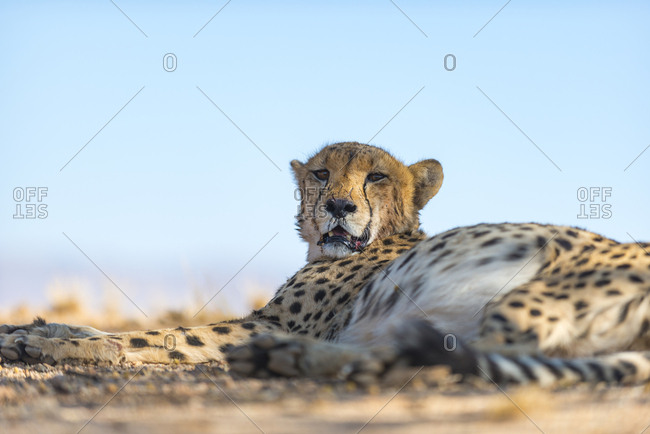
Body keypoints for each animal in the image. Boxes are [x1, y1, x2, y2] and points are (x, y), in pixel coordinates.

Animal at [2, 141, 650, 387]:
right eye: (320, 173)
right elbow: (106, 325)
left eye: (377, 177)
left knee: (456, 361)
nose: (339, 205)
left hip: (529, 290)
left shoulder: (263, 321)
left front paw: (50, 347)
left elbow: (158, 336)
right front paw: (25, 330)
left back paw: (293, 359)